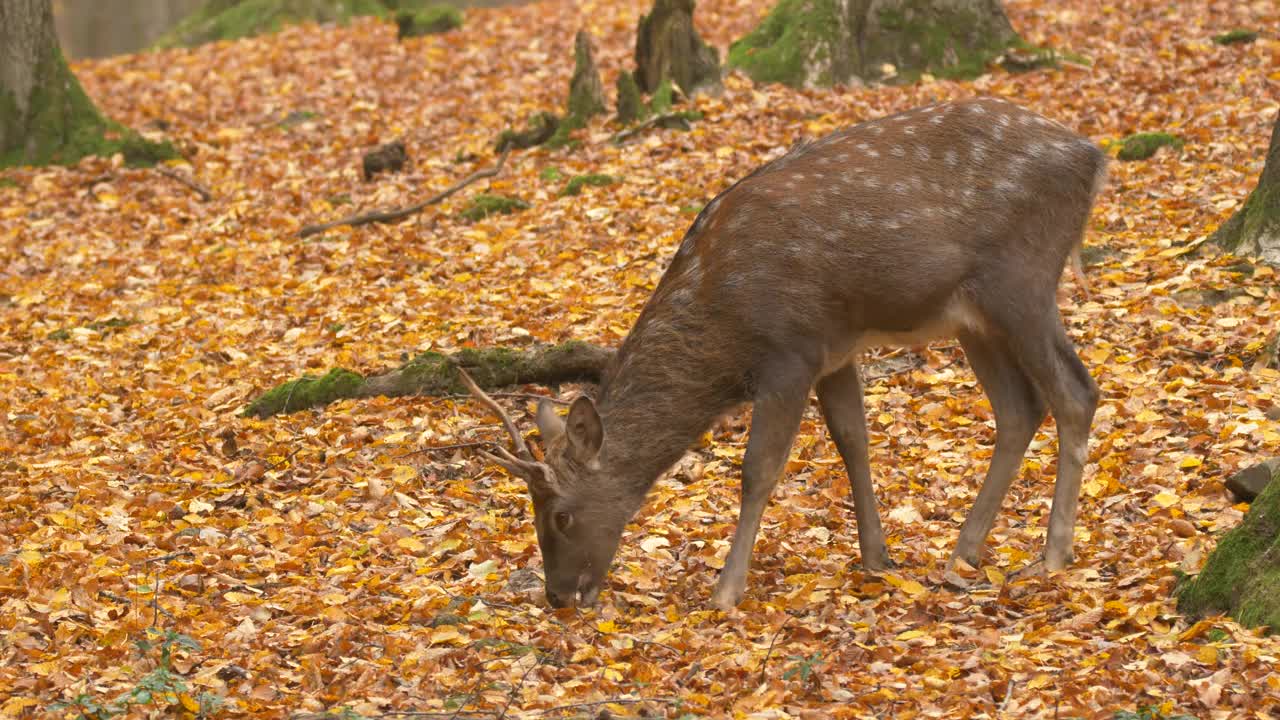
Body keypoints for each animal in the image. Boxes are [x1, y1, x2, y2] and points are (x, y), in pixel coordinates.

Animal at [465, 98, 1105, 607]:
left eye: (561, 514)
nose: (558, 595)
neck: (722, 326)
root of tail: (1093, 157)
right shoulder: (835, 350)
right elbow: (853, 442)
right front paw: (876, 557)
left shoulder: (789, 354)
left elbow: (759, 469)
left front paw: (725, 590)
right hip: (974, 318)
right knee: (1019, 408)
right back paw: (965, 550)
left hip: (1020, 280)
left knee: (1076, 391)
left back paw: (1053, 554)